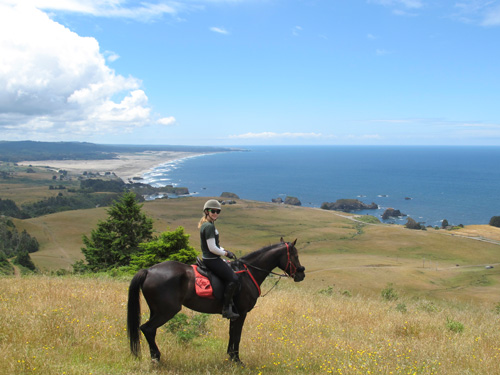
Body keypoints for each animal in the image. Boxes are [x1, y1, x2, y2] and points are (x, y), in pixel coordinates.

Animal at [126, 238, 304, 364]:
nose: (301, 274)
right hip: (167, 311)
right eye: (295, 256)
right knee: (147, 328)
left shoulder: (235, 314)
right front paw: (237, 360)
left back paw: (154, 357)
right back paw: (156, 358)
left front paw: (230, 357)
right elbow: (237, 336)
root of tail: (149, 271)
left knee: (151, 331)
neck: (248, 273)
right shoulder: (242, 313)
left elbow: (232, 334)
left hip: (156, 311)